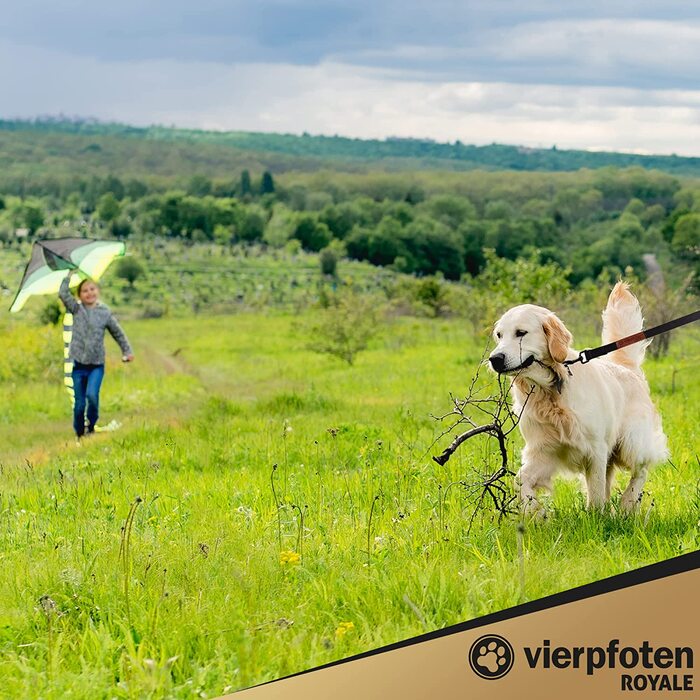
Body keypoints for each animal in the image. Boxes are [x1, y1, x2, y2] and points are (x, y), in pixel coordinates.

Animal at [486, 280, 668, 516]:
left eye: (521, 333)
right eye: (499, 335)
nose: (495, 359)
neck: (552, 391)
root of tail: (627, 368)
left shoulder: (596, 449)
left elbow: (596, 490)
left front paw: (597, 517)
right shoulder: (544, 450)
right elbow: (520, 481)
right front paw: (536, 512)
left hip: (631, 441)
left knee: (641, 469)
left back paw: (628, 502)